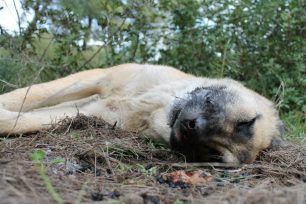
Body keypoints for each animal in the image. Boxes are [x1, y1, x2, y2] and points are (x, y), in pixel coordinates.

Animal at [0, 63, 284, 163]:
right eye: (245, 122)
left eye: (212, 154)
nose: (190, 127)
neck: (152, 105)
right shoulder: (98, 77)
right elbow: (28, 95)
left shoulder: (92, 111)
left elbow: (21, 121)